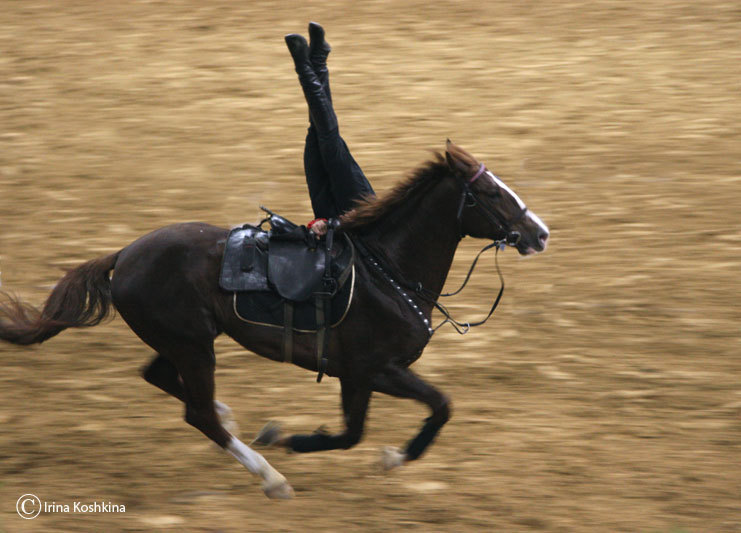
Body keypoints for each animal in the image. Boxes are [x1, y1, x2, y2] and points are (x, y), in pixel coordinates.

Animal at [1, 142, 548, 498]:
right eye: (491, 194)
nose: (540, 233)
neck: (386, 272)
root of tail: (124, 255)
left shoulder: (360, 375)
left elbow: (383, 424)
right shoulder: (373, 369)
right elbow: (424, 411)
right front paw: (314, 445)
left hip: (186, 342)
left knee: (162, 379)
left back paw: (233, 420)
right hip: (194, 347)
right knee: (196, 413)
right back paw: (270, 476)